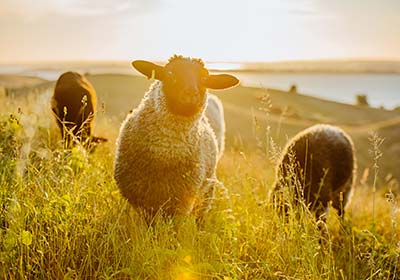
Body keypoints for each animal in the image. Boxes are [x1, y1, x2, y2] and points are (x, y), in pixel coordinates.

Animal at [112, 54, 239, 217]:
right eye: (170, 73)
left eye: (204, 78)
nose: (191, 94)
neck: (167, 151)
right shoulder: (139, 197)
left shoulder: (182, 202)